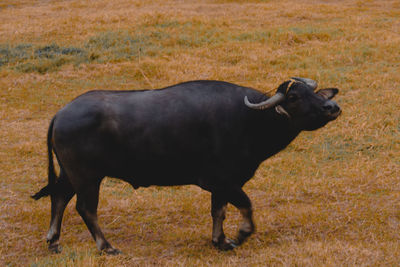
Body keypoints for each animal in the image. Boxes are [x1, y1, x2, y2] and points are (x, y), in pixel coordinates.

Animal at [32, 78, 342, 255]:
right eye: (294, 97)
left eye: (316, 93)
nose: (333, 107)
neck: (250, 119)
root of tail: (62, 113)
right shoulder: (223, 180)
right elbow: (245, 205)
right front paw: (239, 236)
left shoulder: (221, 186)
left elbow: (219, 211)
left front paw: (220, 241)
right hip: (87, 177)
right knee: (85, 208)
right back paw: (106, 246)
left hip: (70, 174)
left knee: (59, 197)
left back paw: (54, 241)